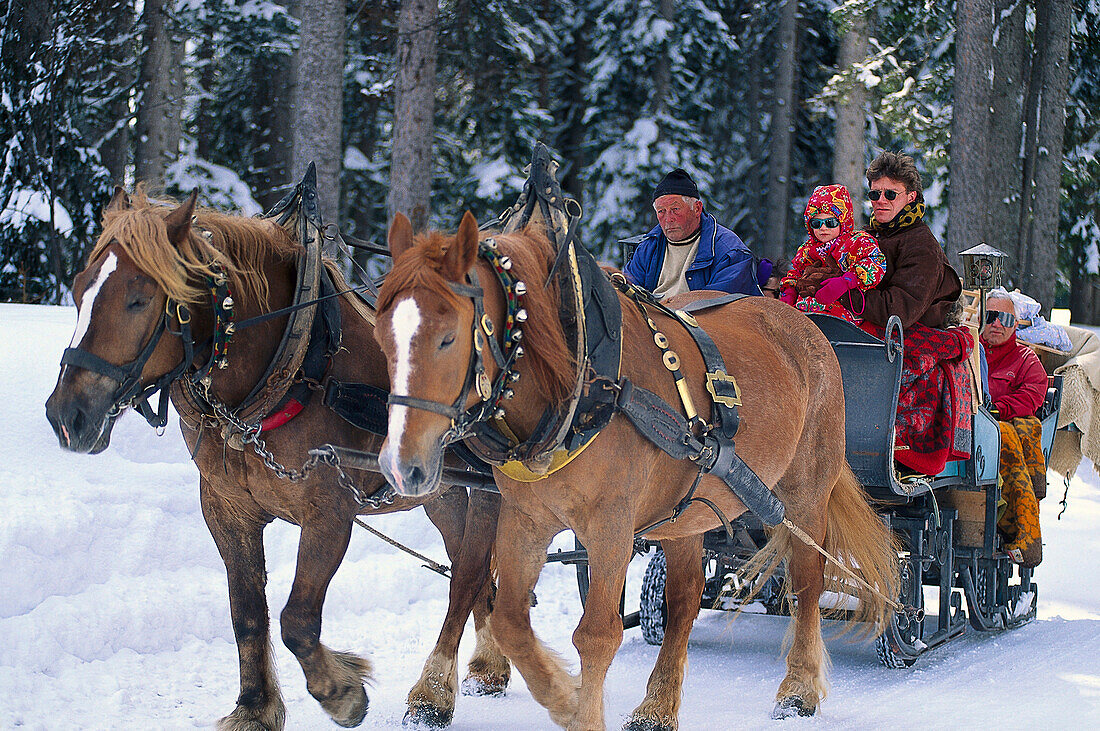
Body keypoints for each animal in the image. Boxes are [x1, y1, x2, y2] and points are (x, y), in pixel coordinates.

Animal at [41, 189, 506, 729]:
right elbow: (246, 613)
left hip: (486, 487)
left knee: (467, 577)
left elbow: (296, 619)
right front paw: (254, 706)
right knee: (477, 576)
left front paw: (342, 690)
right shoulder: (226, 510)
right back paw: (489, 667)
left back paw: (434, 693)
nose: (66, 414)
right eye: (78, 291)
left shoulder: (330, 511)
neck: (291, 366)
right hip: (441, 492)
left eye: (139, 299)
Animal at [374, 207, 897, 725]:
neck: (582, 388)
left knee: (806, 581)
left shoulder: (612, 525)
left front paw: (581, 713)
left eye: (448, 338)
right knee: (684, 599)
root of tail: (804, 326)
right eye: (382, 337)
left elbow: (597, 634)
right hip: (687, 511)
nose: (402, 465)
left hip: (805, 493)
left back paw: (798, 689)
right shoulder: (526, 517)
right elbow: (508, 619)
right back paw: (657, 707)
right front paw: (562, 696)